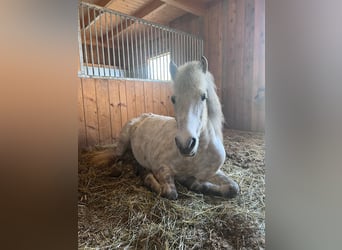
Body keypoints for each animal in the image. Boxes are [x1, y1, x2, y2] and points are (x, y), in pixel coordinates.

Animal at [92, 56, 239, 199]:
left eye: (203, 96)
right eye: (173, 99)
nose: (185, 145)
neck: (196, 156)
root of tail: (142, 117)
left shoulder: (212, 172)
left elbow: (233, 188)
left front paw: (195, 183)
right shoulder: (161, 168)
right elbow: (169, 192)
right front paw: (148, 178)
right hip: (122, 144)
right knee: (118, 159)